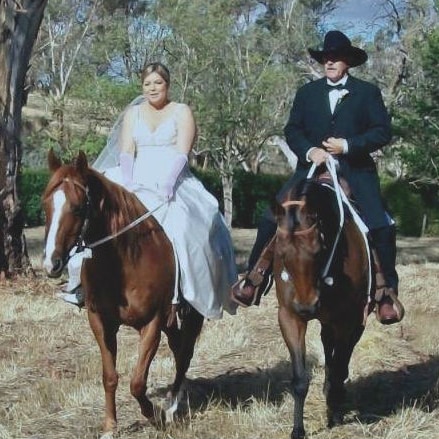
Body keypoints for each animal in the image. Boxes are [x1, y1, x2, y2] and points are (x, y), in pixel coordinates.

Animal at [43, 150, 205, 436]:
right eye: (46, 207)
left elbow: (137, 382)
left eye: (77, 208)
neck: (127, 261)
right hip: (170, 323)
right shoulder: (100, 322)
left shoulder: (152, 324)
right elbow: (110, 376)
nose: (51, 263)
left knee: (184, 354)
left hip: (190, 316)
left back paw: (172, 408)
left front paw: (155, 416)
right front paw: (110, 425)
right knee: (178, 350)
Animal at [276, 171, 374, 439]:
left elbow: (340, 365)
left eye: (319, 249)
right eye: (281, 253)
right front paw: (298, 430)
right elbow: (300, 380)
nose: (307, 306)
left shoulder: (346, 320)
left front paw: (336, 409)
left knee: (342, 358)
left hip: (355, 321)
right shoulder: (290, 317)